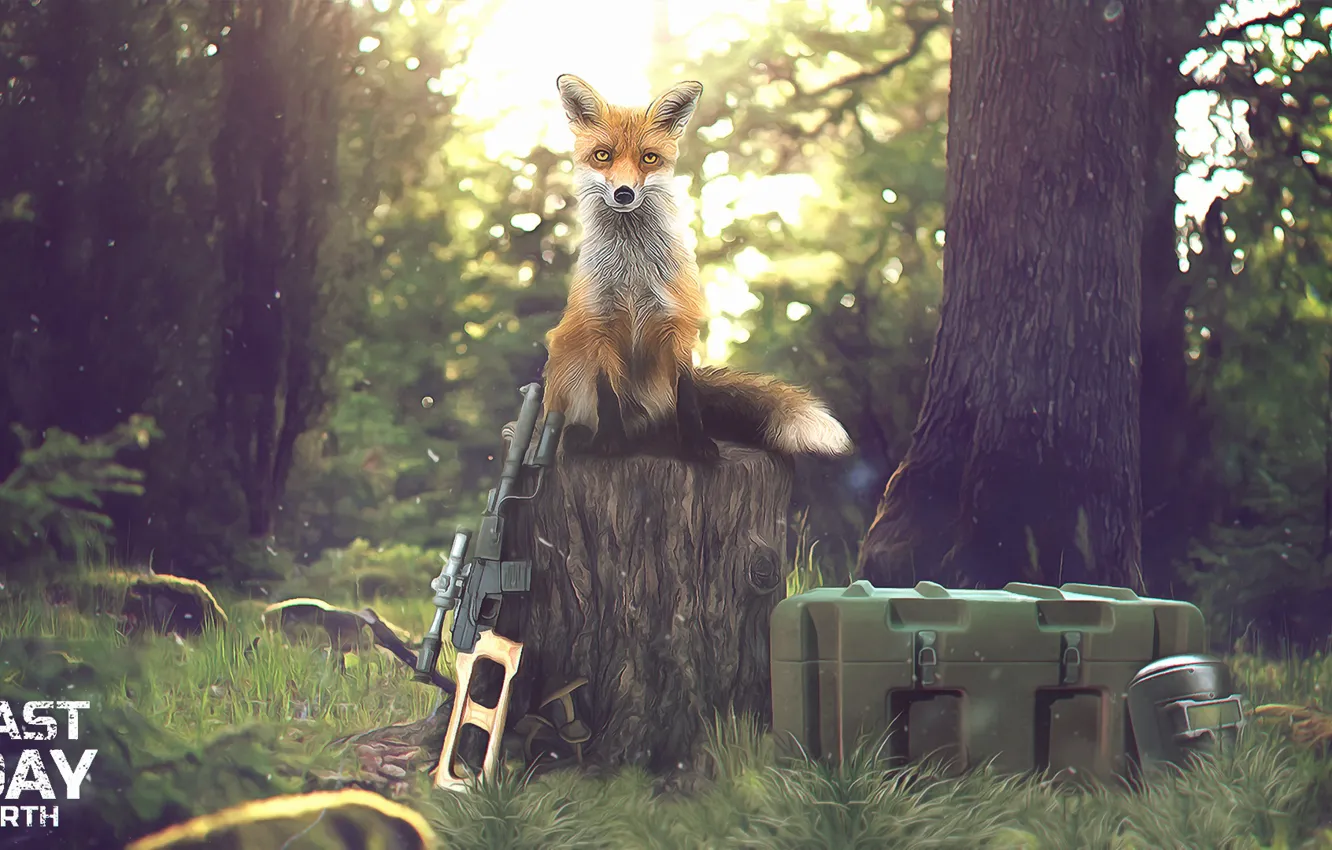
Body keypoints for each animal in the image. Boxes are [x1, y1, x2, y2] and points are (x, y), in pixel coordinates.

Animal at [542, 73, 853, 462]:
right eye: (603, 155)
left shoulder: (678, 323)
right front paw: (609, 444)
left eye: (649, 158)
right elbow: (607, 394)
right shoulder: (600, 323)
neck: (633, 271)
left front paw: (696, 445)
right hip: (566, 360)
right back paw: (581, 436)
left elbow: (688, 394)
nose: (624, 193)